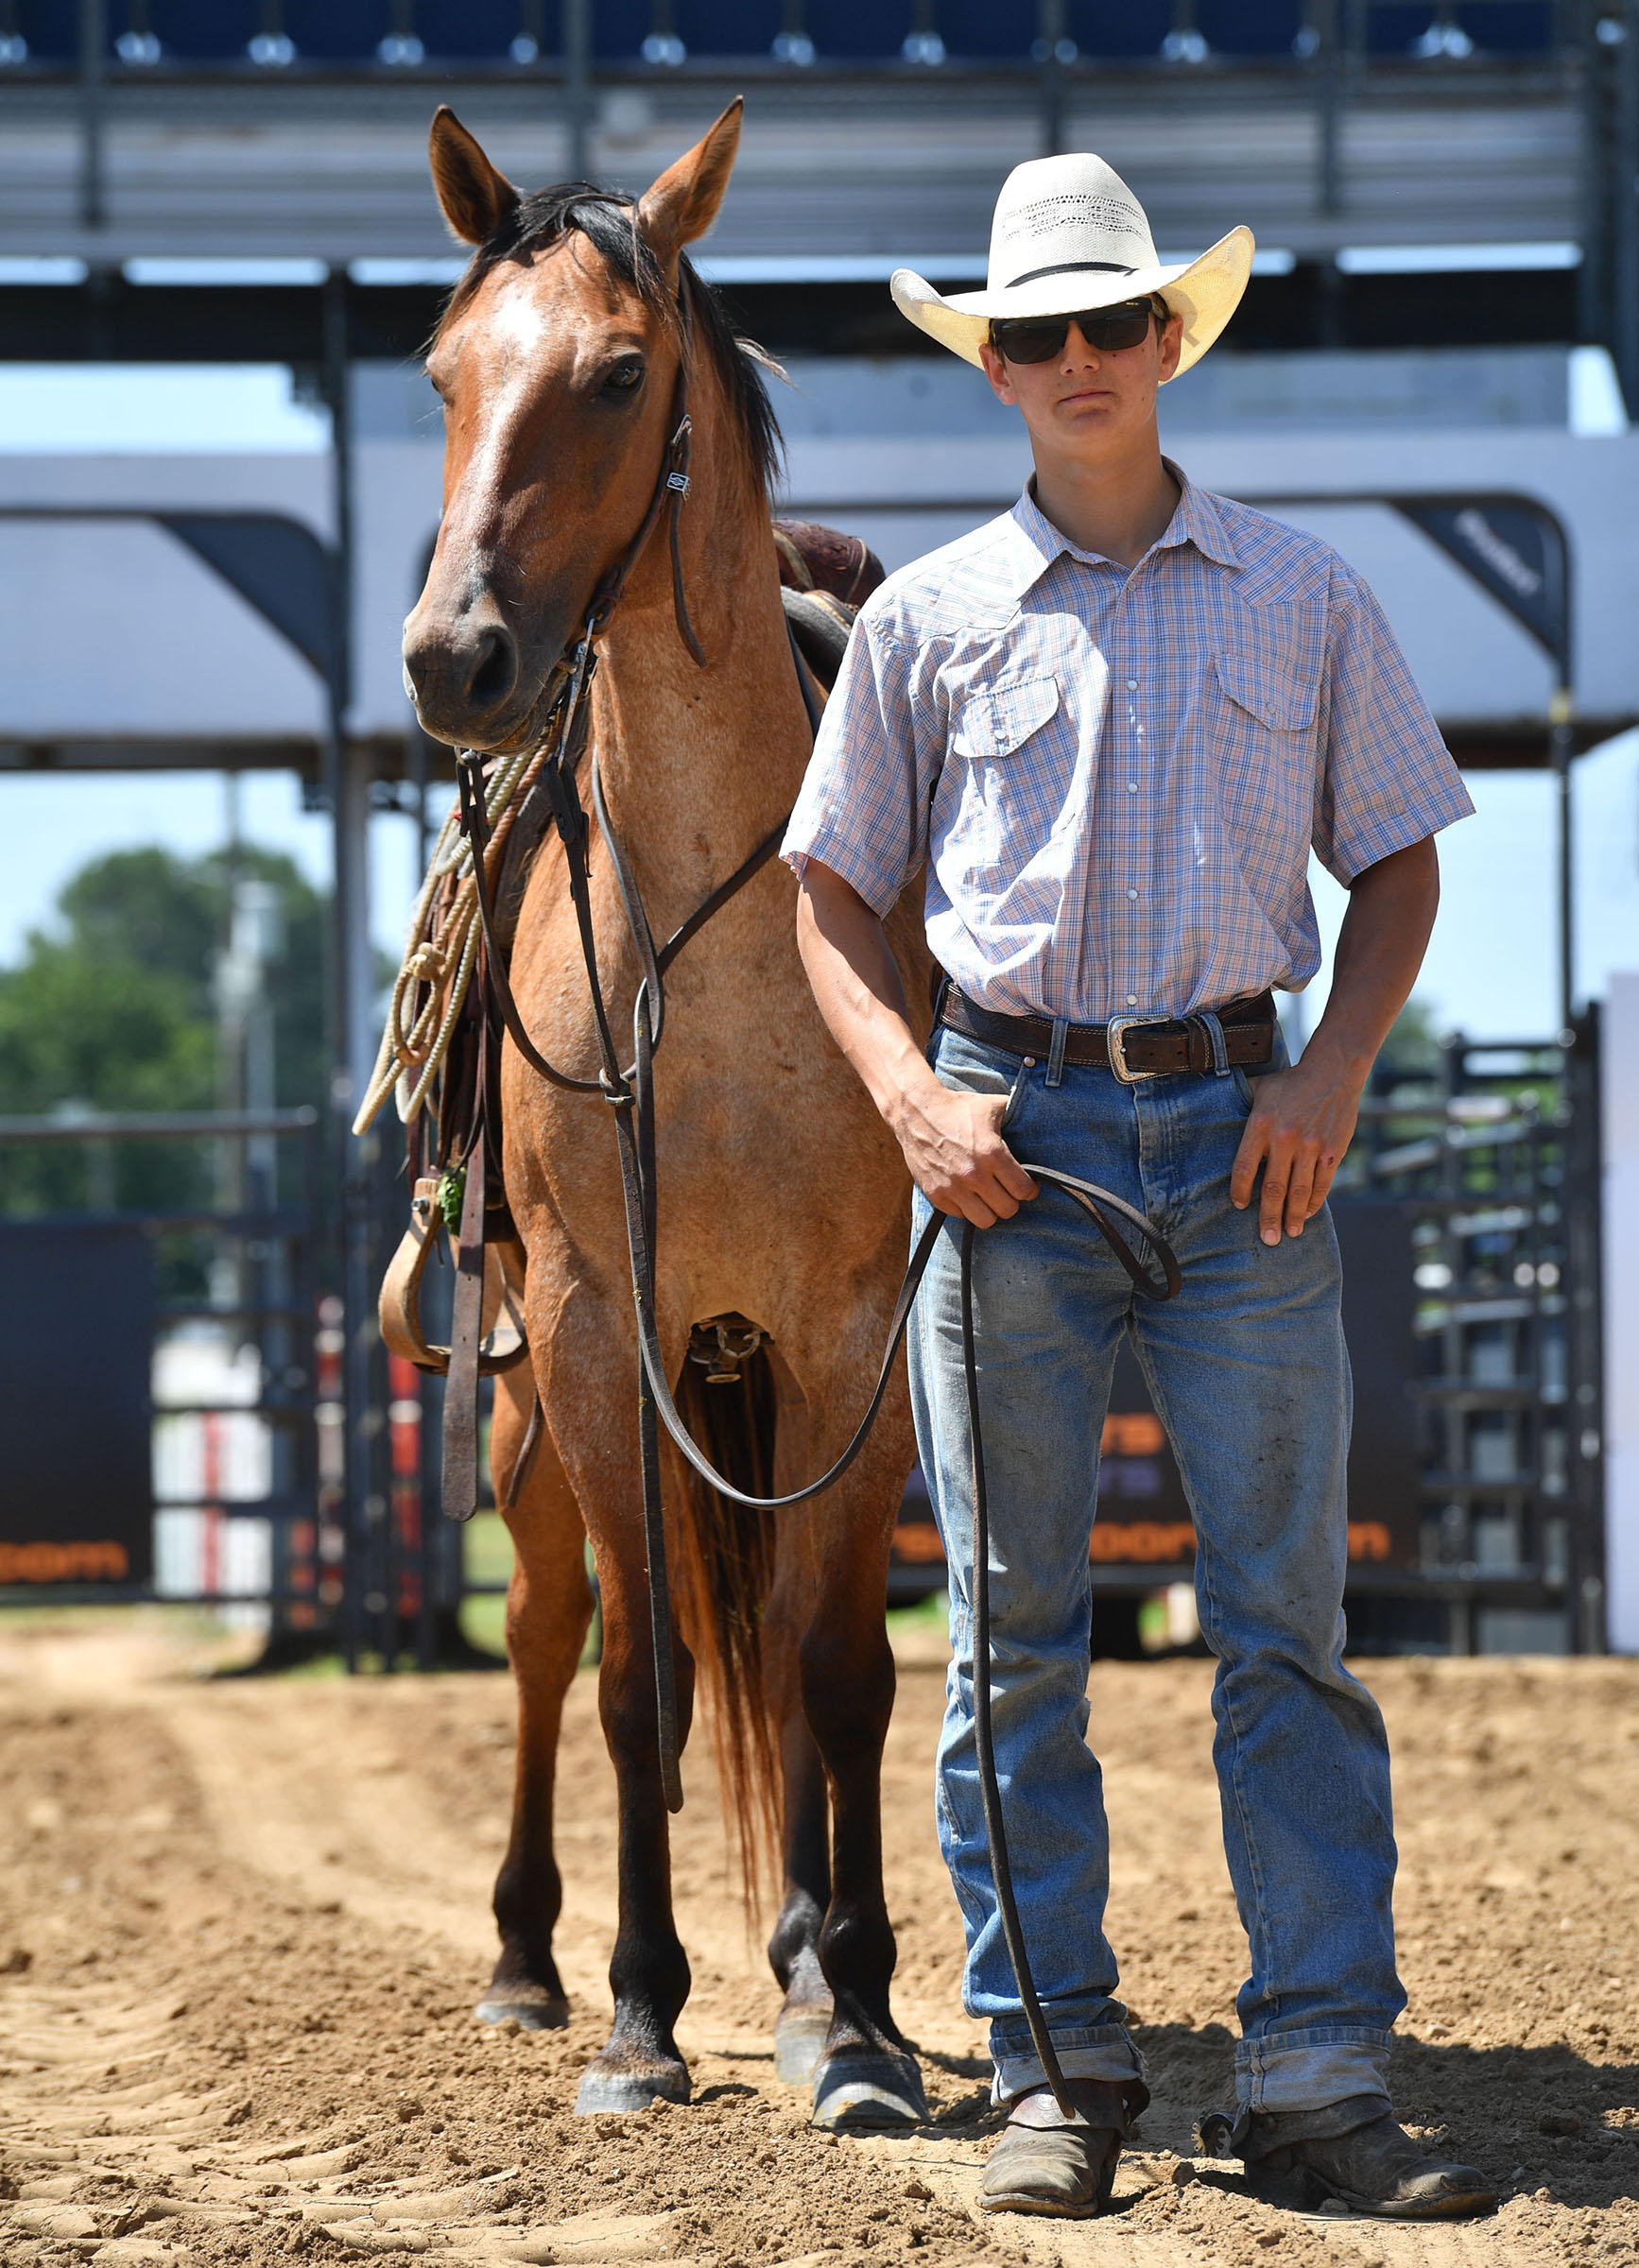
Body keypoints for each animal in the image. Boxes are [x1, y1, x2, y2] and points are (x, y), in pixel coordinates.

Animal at [397, 102, 930, 2122]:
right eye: (441, 374)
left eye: (620, 375)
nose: (451, 659)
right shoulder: (588, 1322)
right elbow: (637, 1678)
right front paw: (638, 2010)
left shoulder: (845, 1333)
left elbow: (833, 1671)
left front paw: (854, 2012)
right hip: (531, 1406)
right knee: (550, 1639)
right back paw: (528, 1961)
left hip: (752, 1369)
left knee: (771, 1649)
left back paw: (795, 1965)